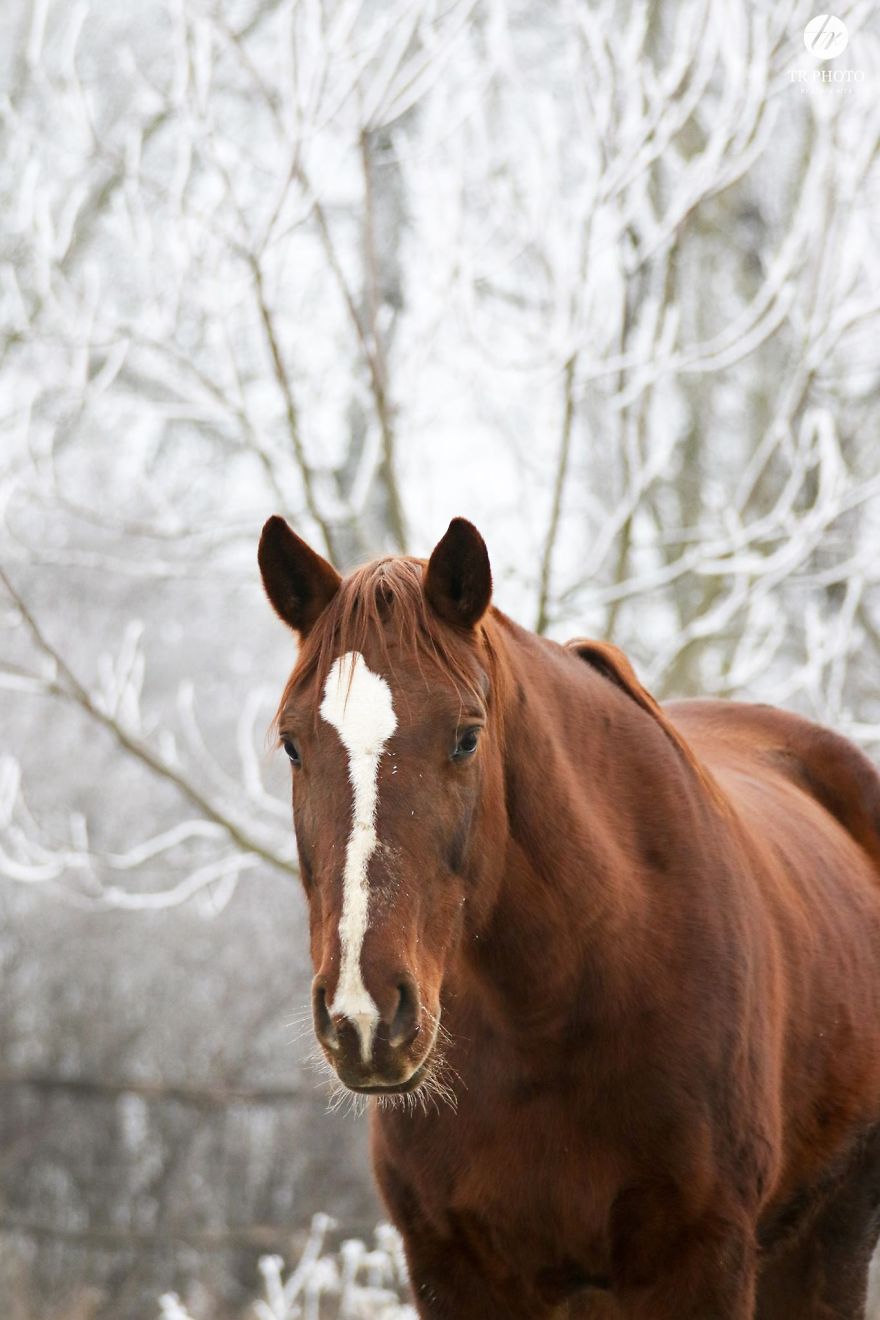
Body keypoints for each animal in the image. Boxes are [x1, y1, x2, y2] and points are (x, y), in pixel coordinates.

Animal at [258, 514, 880, 1319]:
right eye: (292, 744)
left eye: (467, 736)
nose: (364, 1017)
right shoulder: (453, 1269)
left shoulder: (702, 1261)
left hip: (828, 1239)